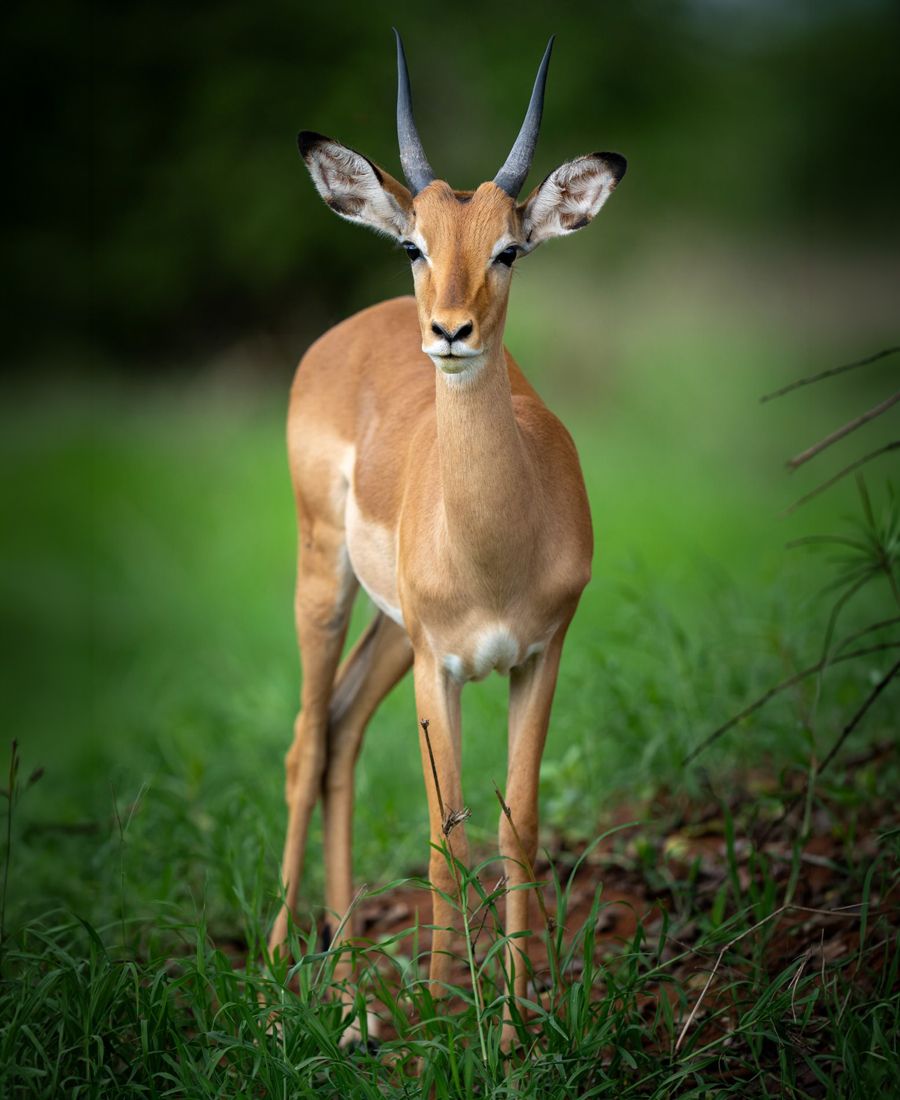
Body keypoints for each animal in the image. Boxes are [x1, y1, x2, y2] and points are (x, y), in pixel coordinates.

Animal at [270, 30, 626, 1033]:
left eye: (509, 249)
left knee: (340, 733)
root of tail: (351, 331)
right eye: (411, 243)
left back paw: (350, 1000)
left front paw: (513, 1028)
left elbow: (514, 828)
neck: (499, 549)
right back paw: (277, 987)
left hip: (393, 630)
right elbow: (444, 835)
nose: (451, 331)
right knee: (304, 743)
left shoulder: (537, 654)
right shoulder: (445, 667)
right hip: (327, 583)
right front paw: (438, 1027)